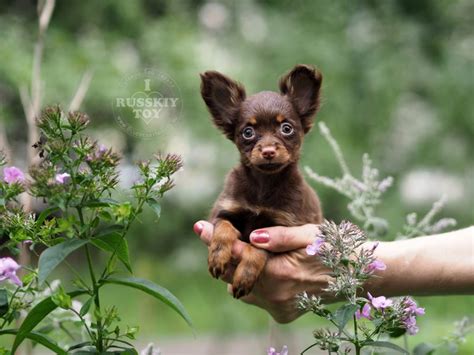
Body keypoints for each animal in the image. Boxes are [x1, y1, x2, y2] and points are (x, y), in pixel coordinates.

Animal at [198, 65, 324, 298]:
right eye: (248, 132)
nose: (268, 151)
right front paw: (218, 257)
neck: (264, 183)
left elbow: (258, 248)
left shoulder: (278, 228)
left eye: (286, 128)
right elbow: (224, 228)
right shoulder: (224, 210)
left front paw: (245, 277)